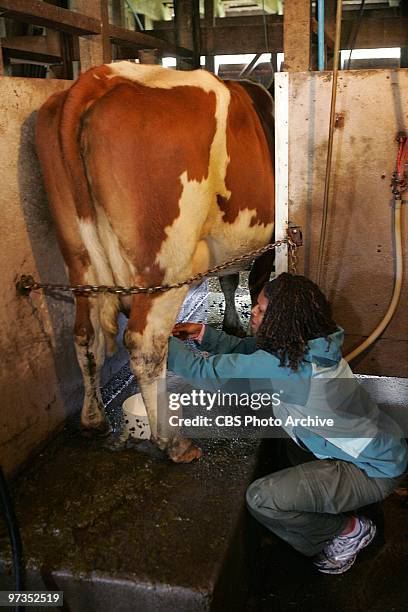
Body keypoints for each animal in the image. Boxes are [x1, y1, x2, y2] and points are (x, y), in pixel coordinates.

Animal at [36, 63, 276, 464]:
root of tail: (102, 76)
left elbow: (228, 281)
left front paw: (231, 323)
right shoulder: (267, 247)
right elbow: (254, 289)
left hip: (78, 258)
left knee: (85, 334)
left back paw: (93, 420)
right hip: (165, 268)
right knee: (146, 345)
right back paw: (171, 441)